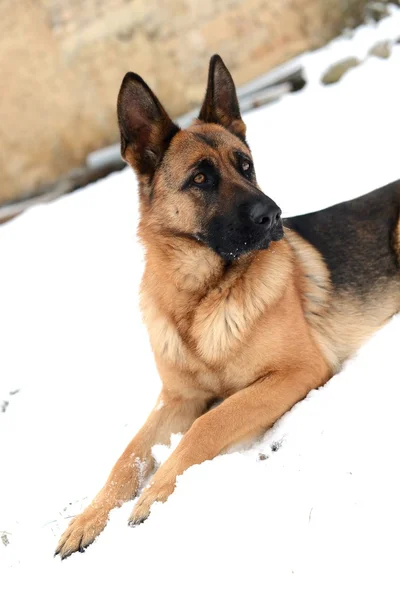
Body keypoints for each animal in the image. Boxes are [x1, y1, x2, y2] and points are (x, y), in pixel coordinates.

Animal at [54, 55, 398, 556]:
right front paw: (88, 517)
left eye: (247, 166)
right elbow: (127, 456)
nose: (274, 216)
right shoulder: (176, 398)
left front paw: (155, 493)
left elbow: (209, 424)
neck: (200, 299)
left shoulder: (296, 371)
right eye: (200, 179)